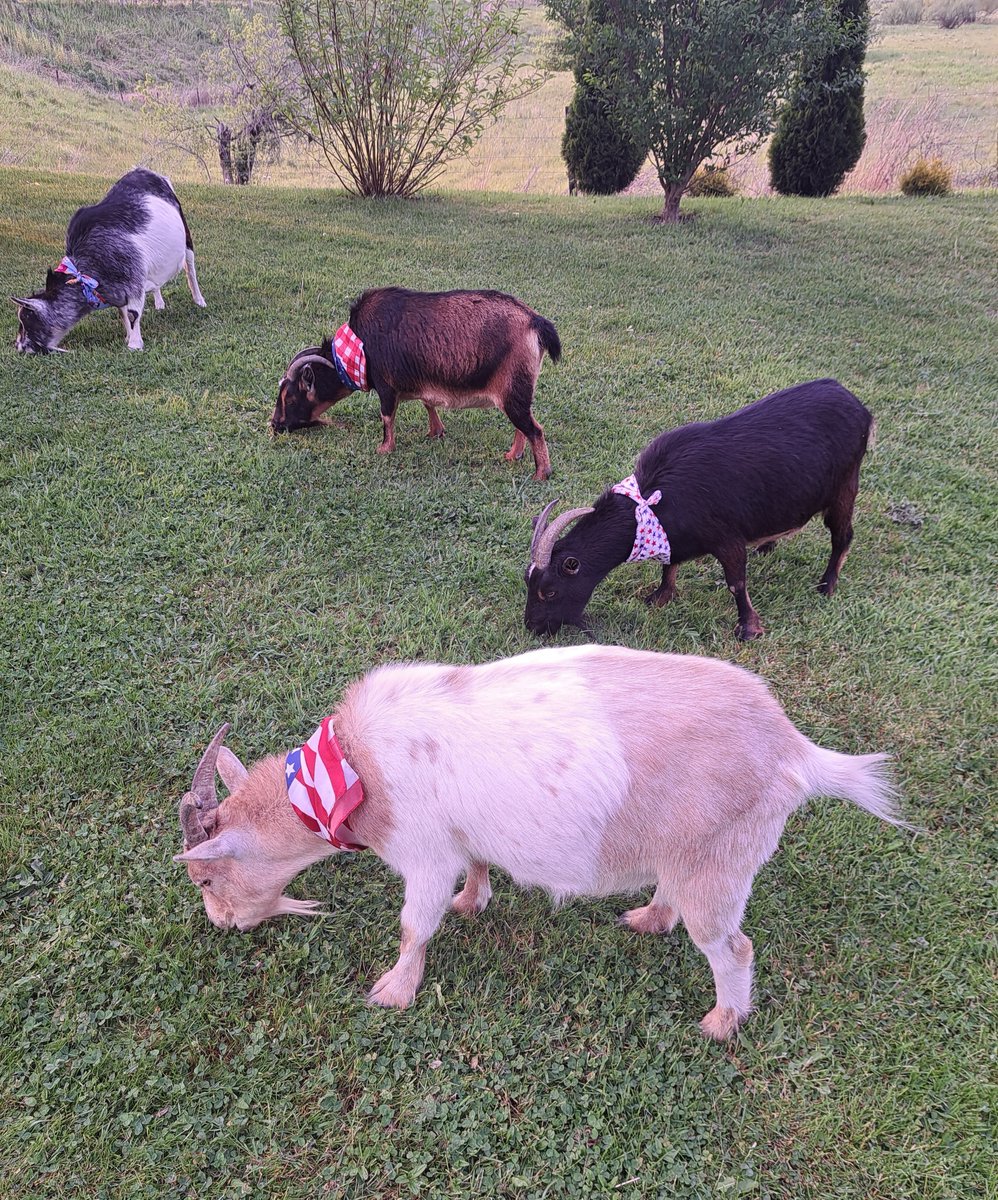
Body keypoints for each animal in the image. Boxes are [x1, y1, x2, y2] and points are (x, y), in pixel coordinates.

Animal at [12, 168, 206, 353]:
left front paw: (134, 345)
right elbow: (123, 313)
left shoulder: (133, 279)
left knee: (190, 267)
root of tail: (148, 172)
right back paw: (159, 303)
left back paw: (199, 300)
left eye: (28, 320)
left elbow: (133, 313)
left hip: (186, 236)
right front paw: (128, 337)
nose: (19, 347)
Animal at [174, 644, 908, 1041]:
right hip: (688, 851)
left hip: (721, 864)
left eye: (205, 878)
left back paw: (721, 1022)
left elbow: (414, 925)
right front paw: (474, 901)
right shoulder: (458, 839)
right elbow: (473, 869)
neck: (351, 767)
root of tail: (793, 750)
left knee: (733, 947)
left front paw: (393, 991)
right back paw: (649, 917)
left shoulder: (422, 853)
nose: (222, 924)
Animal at [270, 287, 561, 480]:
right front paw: (435, 431)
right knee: (523, 426)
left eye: (291, 398)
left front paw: (384, 448)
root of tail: (535, 321)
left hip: (513, 391)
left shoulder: (386, 385)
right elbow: (427, 403)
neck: (358, 345)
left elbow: (387, 417)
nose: (275, 424)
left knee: (534, 429)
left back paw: (541, 473)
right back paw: (514, 455)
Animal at [525, 379, 875, 640]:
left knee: (842, 536)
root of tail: (857, 405)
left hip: (845, 487)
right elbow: (669, 565)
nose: (533, 627)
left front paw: (749, 628)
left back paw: (827, 586)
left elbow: (736, 583)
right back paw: (768, 546)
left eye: (549, 592)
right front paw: (660, 597)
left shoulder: (727, 538)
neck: (651, 503)